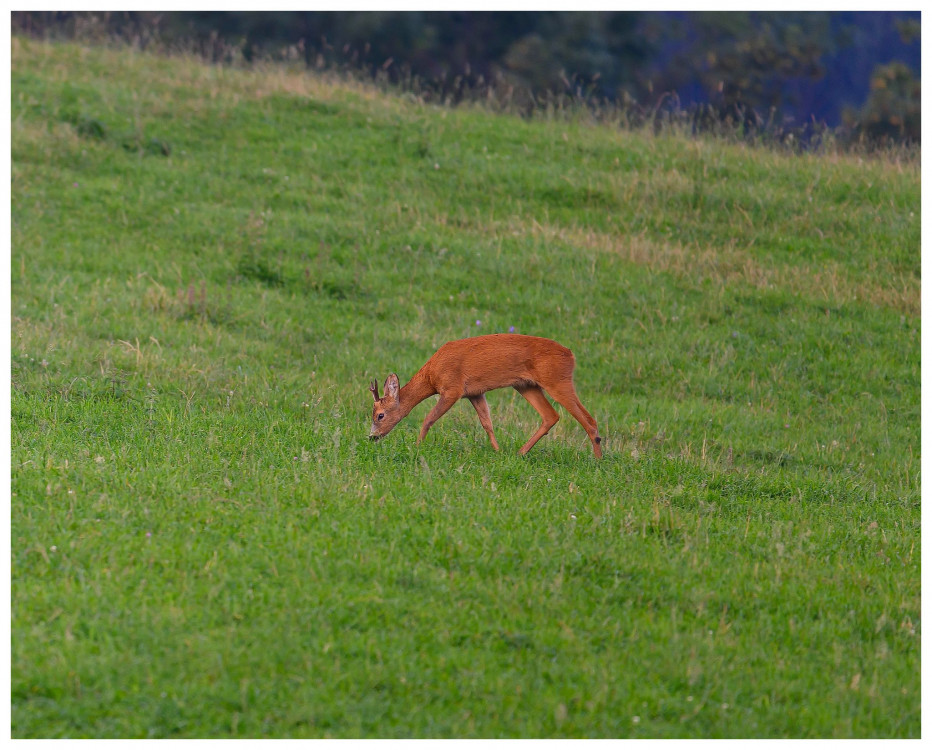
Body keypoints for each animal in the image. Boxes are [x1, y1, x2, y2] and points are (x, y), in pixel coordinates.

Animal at [368, 336, 600, 458]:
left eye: (380, 415)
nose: (372, 437)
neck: (432, 375)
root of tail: (570, 355)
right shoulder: (475, 393)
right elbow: (487, 423)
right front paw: (497, 451)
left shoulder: (453, 389)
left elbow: (429, 418)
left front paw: (417, 446)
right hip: (526, 385)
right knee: (551, 416)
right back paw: (520, 452)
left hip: (557, 380)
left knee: (589, 419)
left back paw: (597, 459)